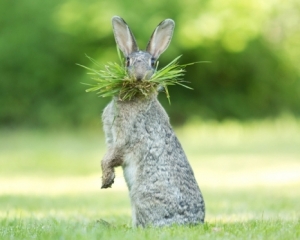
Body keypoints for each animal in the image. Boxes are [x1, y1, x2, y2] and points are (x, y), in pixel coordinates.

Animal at [101, 16, 204, 227]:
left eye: (153, 62)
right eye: (128, 60)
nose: (139, 77)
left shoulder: (124, 137)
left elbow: (112, 156)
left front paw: (106, 180)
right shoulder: (110, 137)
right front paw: (107, 179)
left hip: (141, 195)